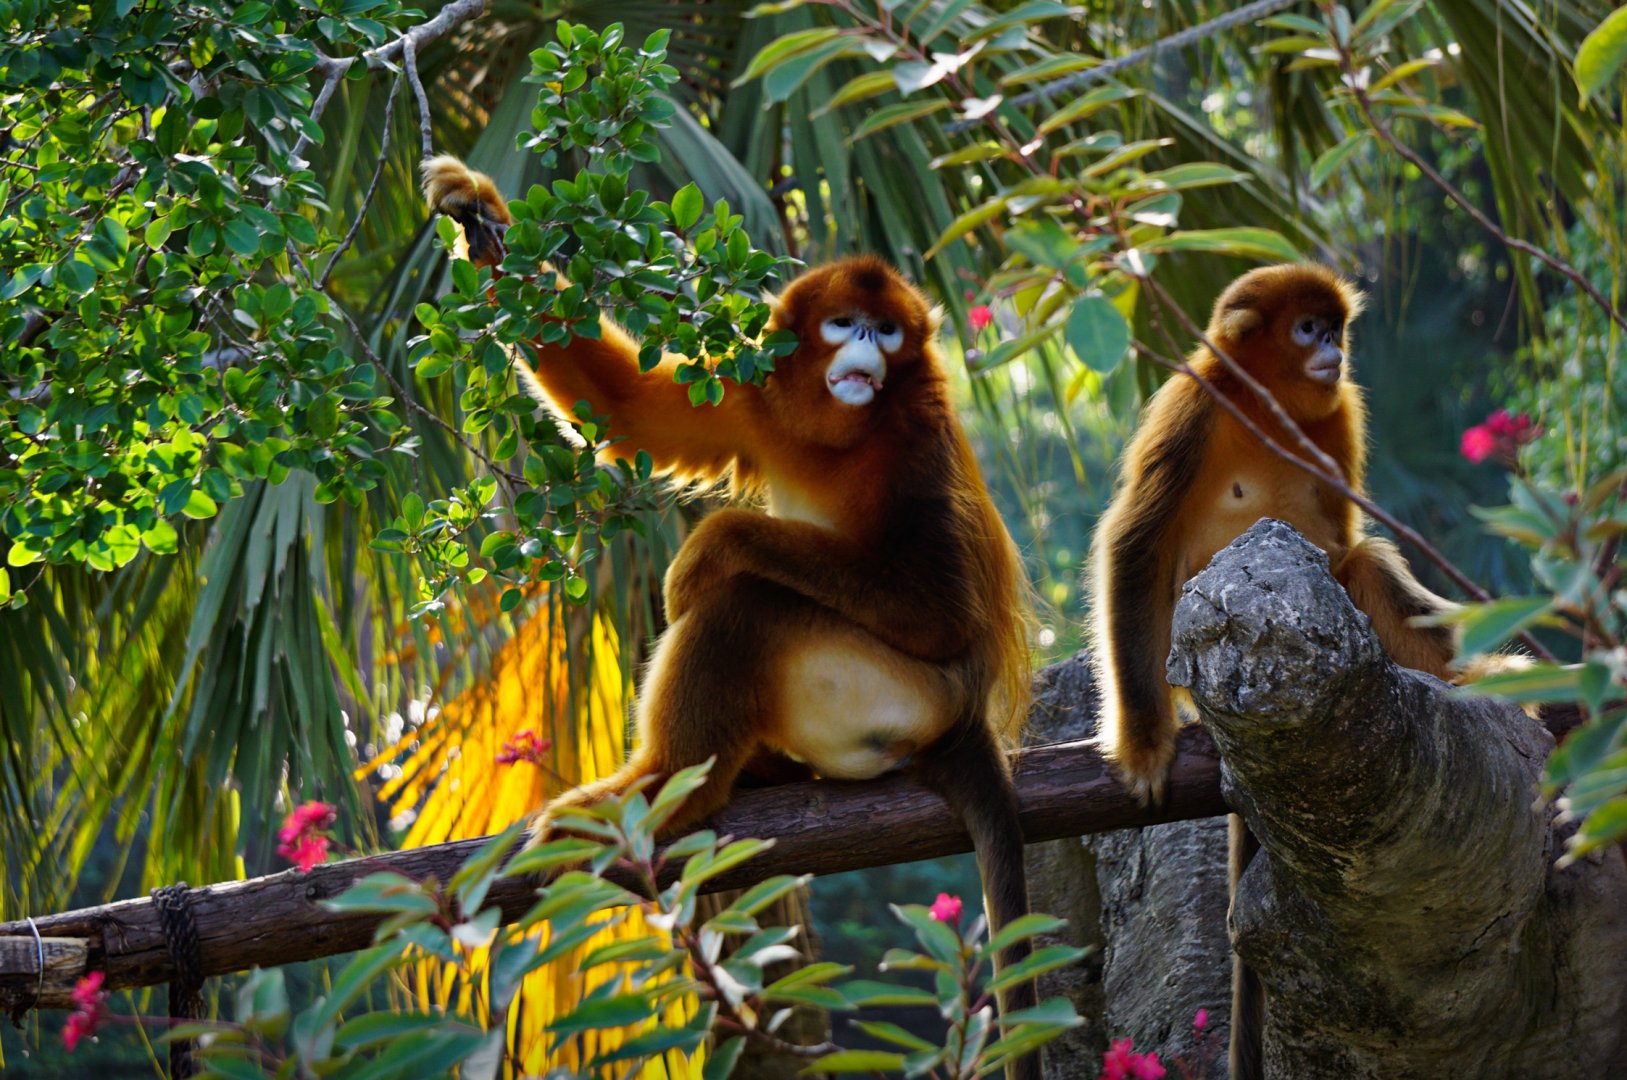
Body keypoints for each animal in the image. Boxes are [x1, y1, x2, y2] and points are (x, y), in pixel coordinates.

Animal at [423, 156, 1044, 1079]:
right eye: (845, 324)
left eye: (887, 334)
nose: (866, 351)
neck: (843, 432)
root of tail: (963, 723)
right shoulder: (760, 396)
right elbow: (634, 411)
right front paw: (478, 214)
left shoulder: (917, 445)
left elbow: (939, 616)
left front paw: (711, 545)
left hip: (894, 696)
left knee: (747, 605)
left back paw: (663, 784)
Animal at [1086, 263, 1463, 1080]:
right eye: (1306, 328)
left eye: (1336, 328)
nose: (1333, 352)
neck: (1266, 407)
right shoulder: (1194, 403)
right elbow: (1135, 545)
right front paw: (1144, 743)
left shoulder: (1338, 411)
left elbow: (1345, 546)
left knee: (1362, 563)